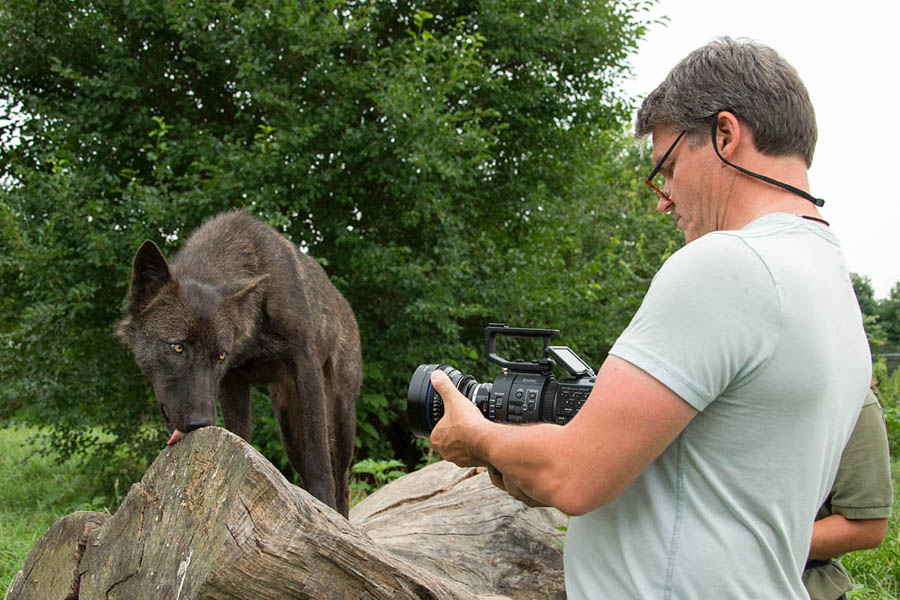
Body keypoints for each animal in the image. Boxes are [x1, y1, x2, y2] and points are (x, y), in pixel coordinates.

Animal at [116, 210, 362, 517]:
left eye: (219, 355)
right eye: (178, 347)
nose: (201, 423)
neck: (252, 327)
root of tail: (345, 305)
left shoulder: (306, 368)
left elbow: (319, 462)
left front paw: (324, 506)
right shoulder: (233, 382)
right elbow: (240, 440)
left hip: (340, 417)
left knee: (341, 480)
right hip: (289, 432)